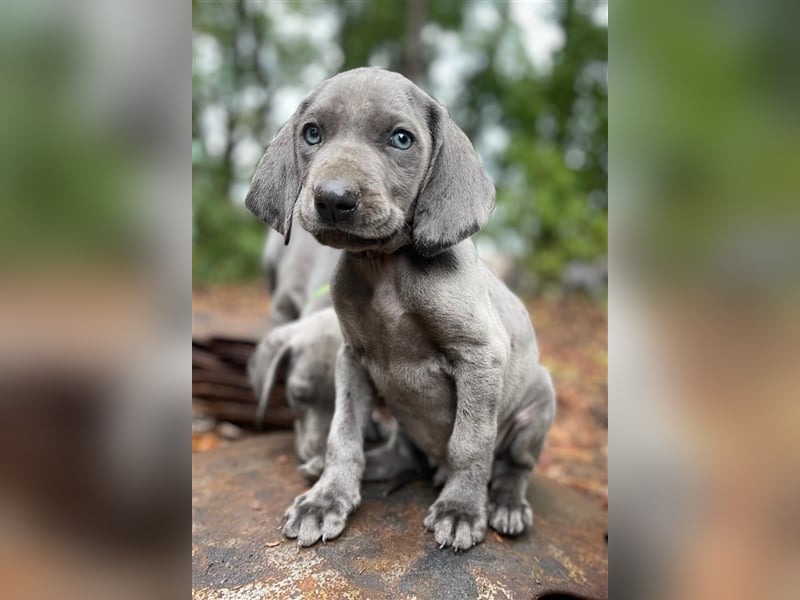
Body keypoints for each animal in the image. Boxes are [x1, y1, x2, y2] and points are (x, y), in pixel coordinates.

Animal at [245, 68, 556, 552]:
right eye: (312, 133)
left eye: (401, 139)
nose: (333, 198)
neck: (383, 269)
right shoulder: (353, 359)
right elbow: (344, 436)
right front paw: (326, 499)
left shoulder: (480, 355)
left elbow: (470, 442)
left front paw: (460, 510)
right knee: (397, 457)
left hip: (539, 400)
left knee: (513, 466)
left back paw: (503, 503)